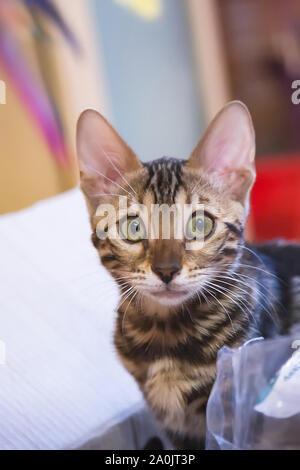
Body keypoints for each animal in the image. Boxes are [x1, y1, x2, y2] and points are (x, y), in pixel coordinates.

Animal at [75, 102, 300, 448]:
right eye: (133, 227)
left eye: (200, 224)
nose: (166, 270)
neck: (165, 332)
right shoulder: (174, 428)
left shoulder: (235, 409)